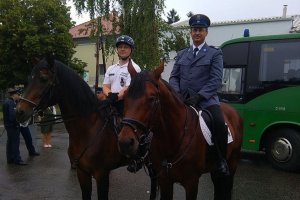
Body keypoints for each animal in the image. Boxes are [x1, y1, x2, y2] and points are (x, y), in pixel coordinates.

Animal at [14, 57, 157, 199]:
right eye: (29, 79)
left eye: (43, 79)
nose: (19, 112)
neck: (89, 128)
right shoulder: (82, 172)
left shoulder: (102, 174)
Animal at [117, 61, 244, 199]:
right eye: (125, 96)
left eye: (152, 98)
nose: (125, 142)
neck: (173, 138)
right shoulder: (164, 180)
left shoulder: (192, 183)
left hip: (232, 163)